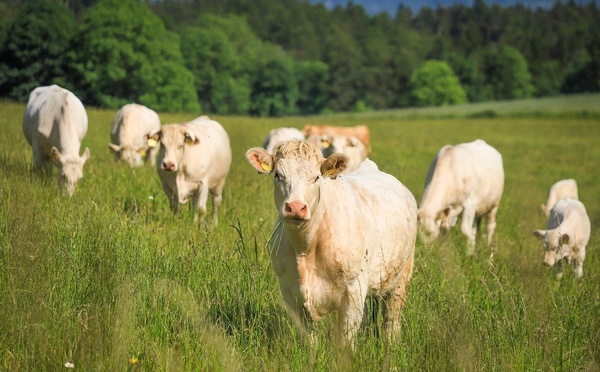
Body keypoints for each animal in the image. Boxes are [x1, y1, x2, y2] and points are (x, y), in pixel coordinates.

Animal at [244, 140, 418, 348]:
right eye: (278, 175)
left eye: (316, 177)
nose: (295, 207)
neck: (305, 249)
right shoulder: (290, 291)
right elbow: (310, 339)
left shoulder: (353, 290)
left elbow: (345, 341)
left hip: (401, 277)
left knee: (391, 319)